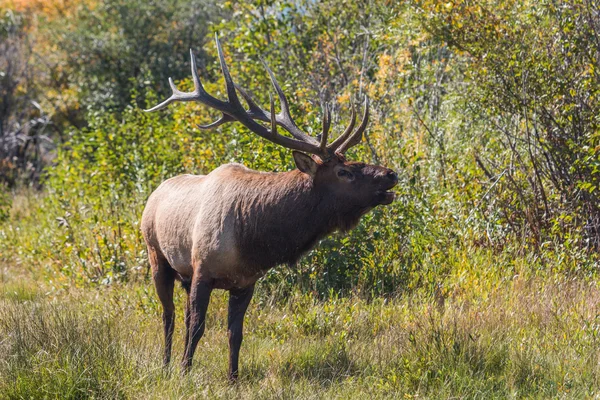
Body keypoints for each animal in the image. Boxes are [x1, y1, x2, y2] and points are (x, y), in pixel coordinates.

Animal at [141, 35, 398, 382]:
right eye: (344, 172)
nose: (390, 174)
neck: (253, 238)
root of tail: (154, 195)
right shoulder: (202, 270)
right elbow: (196, 327)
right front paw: (184, 372)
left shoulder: (245, 282)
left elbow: (235, 334)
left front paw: (233, 379)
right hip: (158, 258)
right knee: (168, 315)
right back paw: (167, 363)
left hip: (182, 273)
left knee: (178, 316)